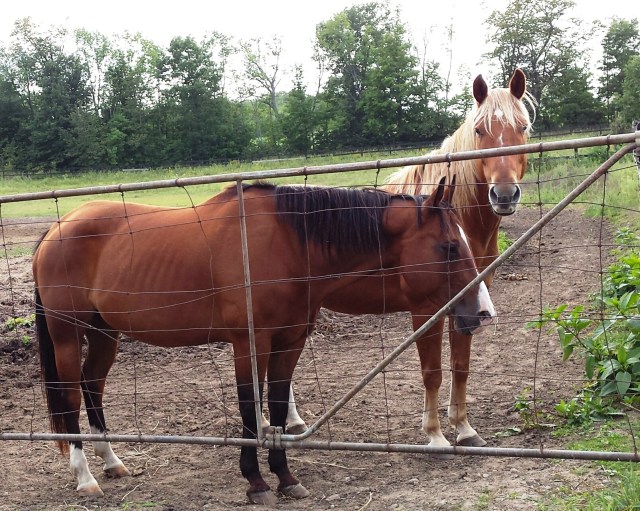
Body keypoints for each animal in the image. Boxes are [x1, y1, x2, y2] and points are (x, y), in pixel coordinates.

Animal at [33, 179, 495, 504]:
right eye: (449, 247)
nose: (478, 313)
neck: (287, 244)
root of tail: (56, 227)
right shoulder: (249, 344)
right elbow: (248, 409)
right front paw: (255, 481)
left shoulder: (289, 342)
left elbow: (274, 404)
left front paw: (286, 477)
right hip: (68, 335)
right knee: (70, 396)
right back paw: (85, 478)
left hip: (104, 334)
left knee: (93, 387)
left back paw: (112, 462)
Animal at [279, 68, 535, 450]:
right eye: (479, 130)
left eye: (523, 127)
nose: (504, 194)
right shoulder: (427, 308)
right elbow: (432, 372)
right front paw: (435, 434)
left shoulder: (467, 302)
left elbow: (461, 366)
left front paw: (464, 429)